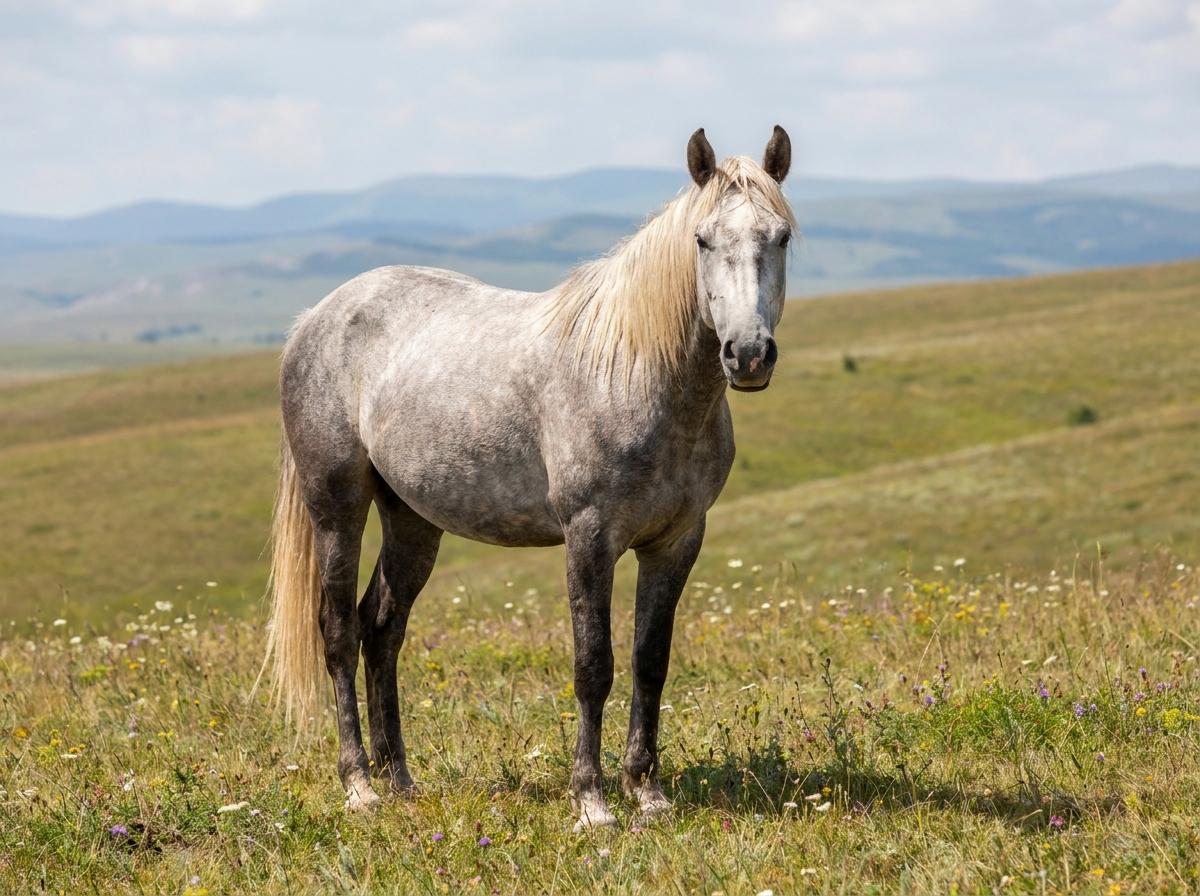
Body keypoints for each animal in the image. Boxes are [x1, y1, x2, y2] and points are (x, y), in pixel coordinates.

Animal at [263, 126, 796, 829]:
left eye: (780, 236)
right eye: (703, 240)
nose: (749, 355)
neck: (636, 372)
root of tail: (313, 319)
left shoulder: (676, 541)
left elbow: (650, 661)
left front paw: (647, 793)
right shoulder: (589, 537)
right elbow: (593, 664)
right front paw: (592, 801)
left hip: (412, 519)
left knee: (380, 629)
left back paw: (401, 779)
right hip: (336, 507)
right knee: (338, 632)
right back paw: (360, 786)